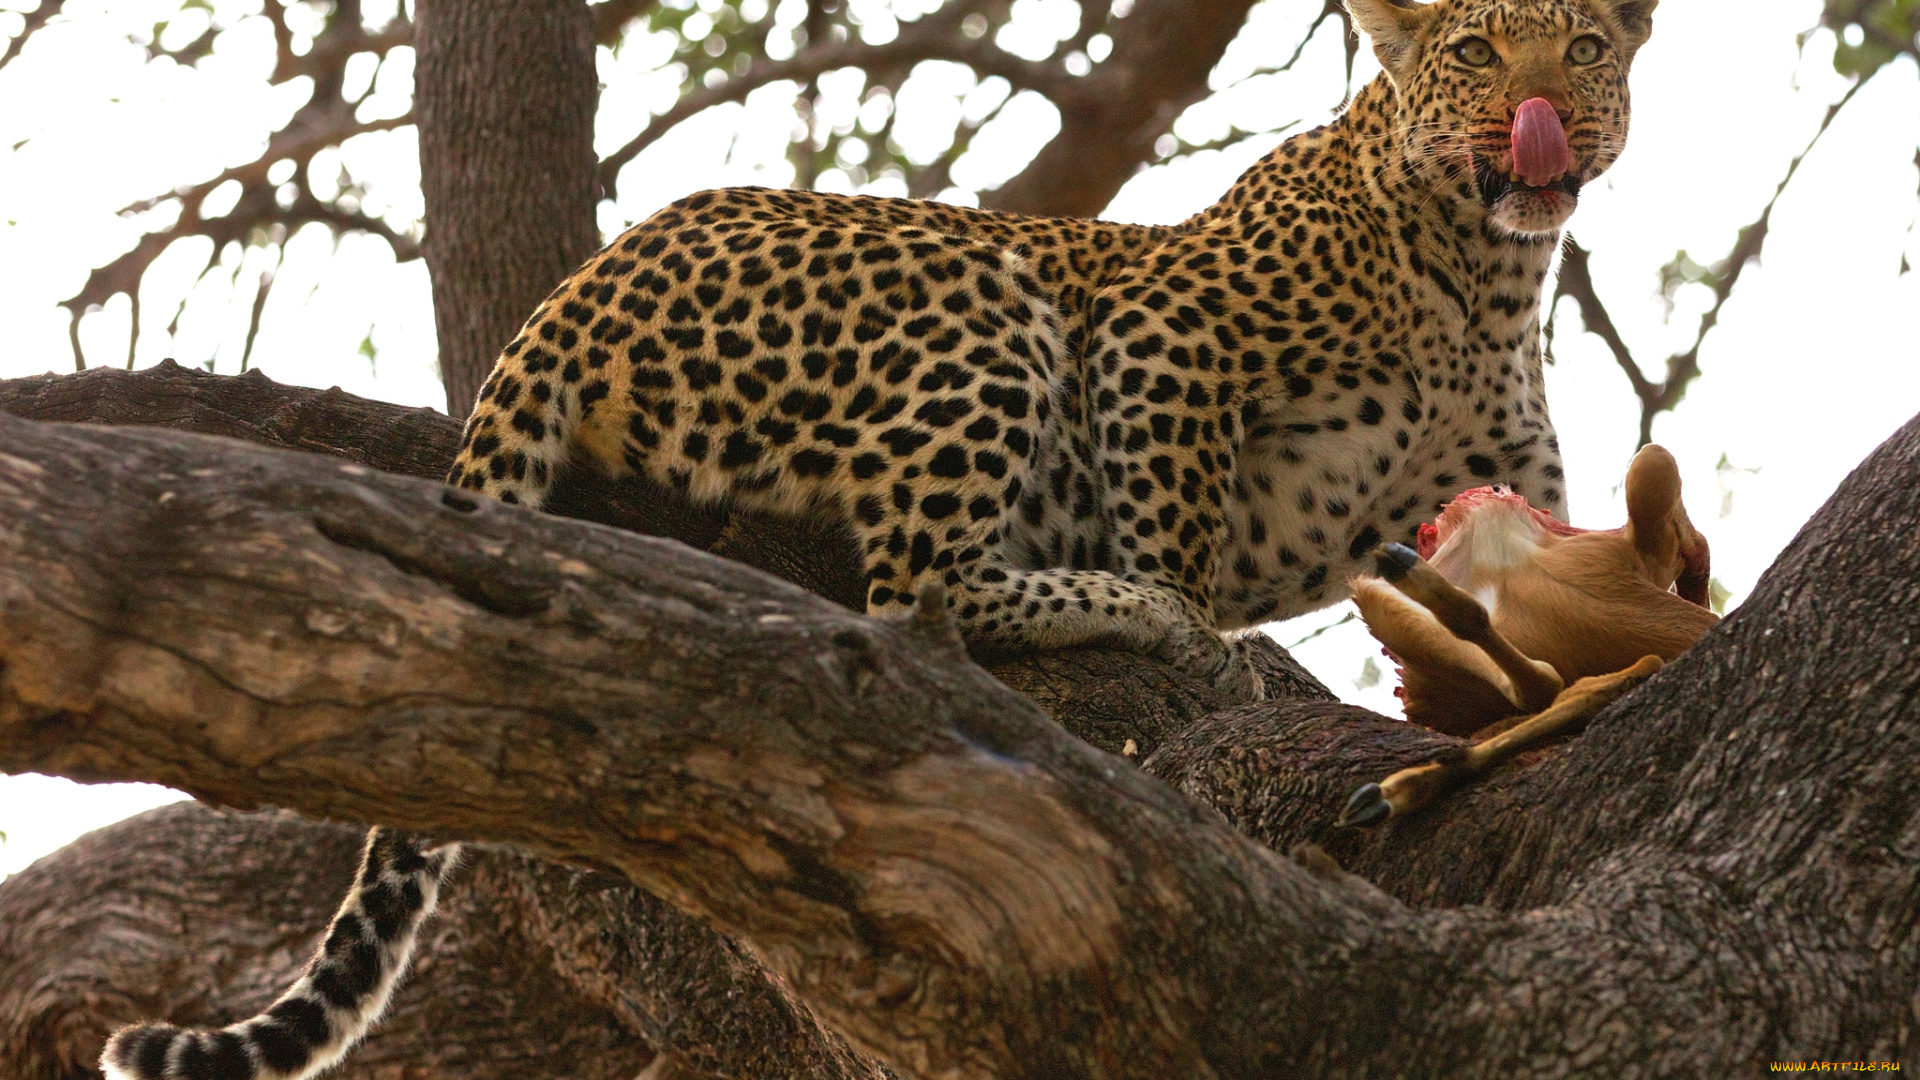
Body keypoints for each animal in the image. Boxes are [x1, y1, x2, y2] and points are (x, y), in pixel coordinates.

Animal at [105, 2, 1658, 1076]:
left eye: (1584, 42)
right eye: (1472, 47)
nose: (1540, 111)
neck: (1482, 269)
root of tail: (577, 284)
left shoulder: (1503, 486)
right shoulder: (1162, 338)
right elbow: (1172, 514)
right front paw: (1195, 627)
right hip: (981, 294)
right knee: (918, 599)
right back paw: (1143, 617)